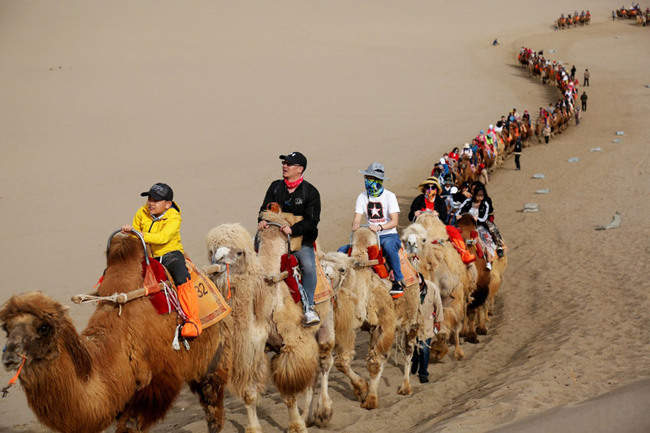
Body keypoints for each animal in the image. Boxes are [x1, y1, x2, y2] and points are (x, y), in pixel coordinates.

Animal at [0, 233, 233, 432]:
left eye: (44, 327)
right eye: (6, 328)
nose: (9, 356)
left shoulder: (156, 386)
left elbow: (130, 426)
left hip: (211, 353)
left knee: (212, 397)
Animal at [318, 250, 394, 408]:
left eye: (342, 269)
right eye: (321, 265)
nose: (325, 282)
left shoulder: (380, 325)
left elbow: (376, 360)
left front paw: (370, 398)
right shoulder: (342, 330)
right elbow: (342, 362)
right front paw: (362, 389)